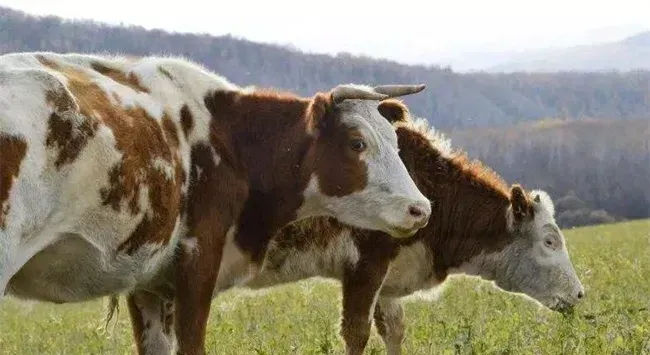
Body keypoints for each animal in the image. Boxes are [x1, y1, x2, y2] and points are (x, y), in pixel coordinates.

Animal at [1, 50, 436, 355]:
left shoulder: (149, 283)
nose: (421, 209)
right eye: (357, 142)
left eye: (395, 141)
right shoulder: (198, 262)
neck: (230, 140)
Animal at [119, 112, 584, 354]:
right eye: (549, 240)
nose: (580, 294)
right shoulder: (366, 262)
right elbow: (356, 332)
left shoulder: (388, 279)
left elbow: (393, 328)